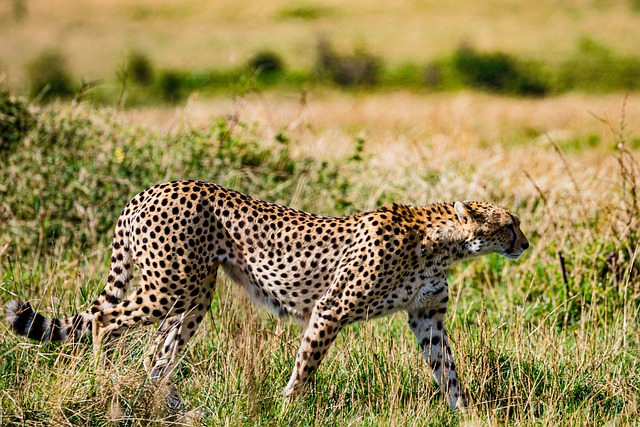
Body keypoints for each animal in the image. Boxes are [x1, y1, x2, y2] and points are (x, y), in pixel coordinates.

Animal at [3, 180, 528, 412]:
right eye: (510, 224)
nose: (525, 243)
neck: (439, 243)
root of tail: (151, 188)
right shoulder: (330, 309)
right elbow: (306, 364)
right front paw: (287, 406)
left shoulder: (426, 317)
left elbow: (448, 371)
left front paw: (468, 416)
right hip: (168, 285)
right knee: (104, 320)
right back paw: (105, 385)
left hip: (192, 294)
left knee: (157, 352)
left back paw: (166, 406)